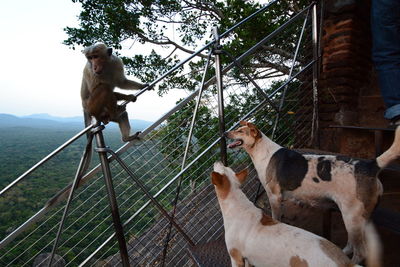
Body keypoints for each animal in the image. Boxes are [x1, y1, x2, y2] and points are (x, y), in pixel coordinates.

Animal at [211, 161, 380, 267]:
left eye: (221, 167)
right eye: (226, 167)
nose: (218, 160)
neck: (237, 204)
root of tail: (345, 262)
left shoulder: (236, 257)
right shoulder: (247, 259)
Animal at [225, 121, 400, 264]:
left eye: (240, 131)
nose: (225, 133)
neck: (262, 150)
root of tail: (371, 165)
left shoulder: (274, 196)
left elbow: (276, 217)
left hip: (352, 215)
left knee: (361, 251)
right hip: (356, 217)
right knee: (352, 242)